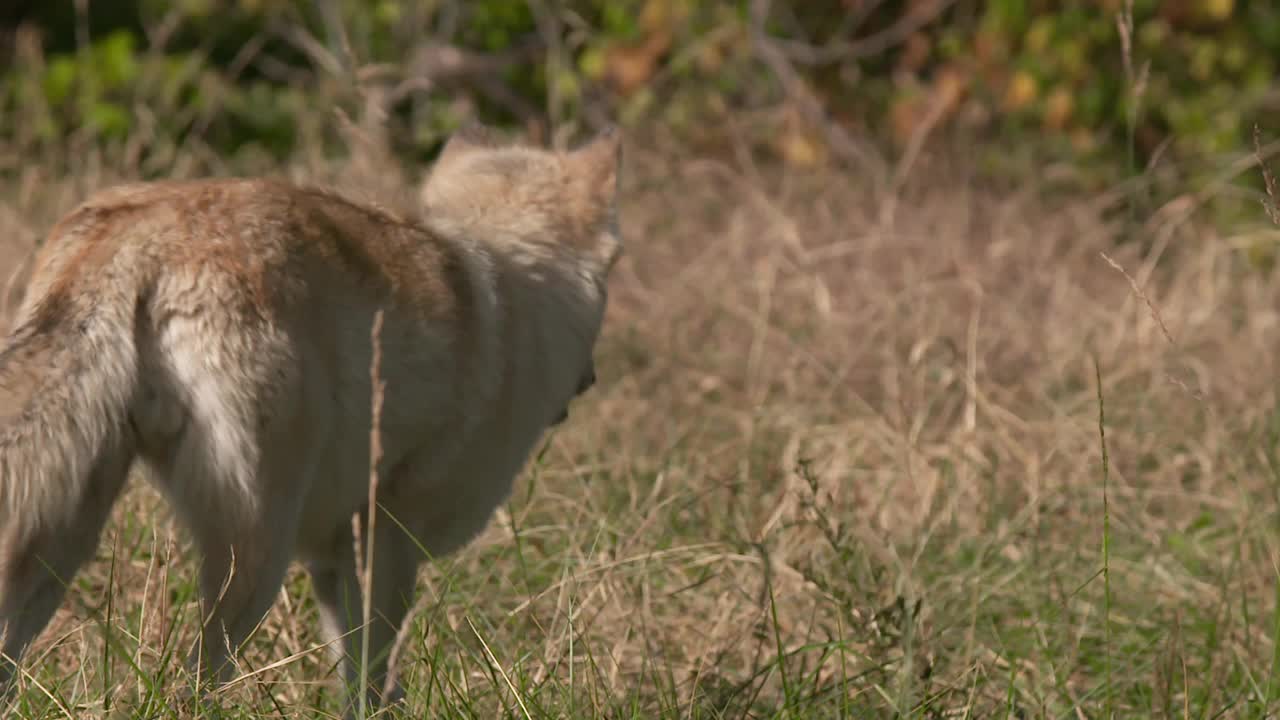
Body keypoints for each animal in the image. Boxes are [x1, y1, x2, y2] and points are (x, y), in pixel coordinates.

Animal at [0, 121, 624, 712]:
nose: (592, 379)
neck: (511, 290)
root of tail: (145, 236)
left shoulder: (332, 558)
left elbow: (359, 677)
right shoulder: (386, 541)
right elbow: (372, 675)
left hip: (65, 546)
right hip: (253, 562)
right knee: (192, 685)